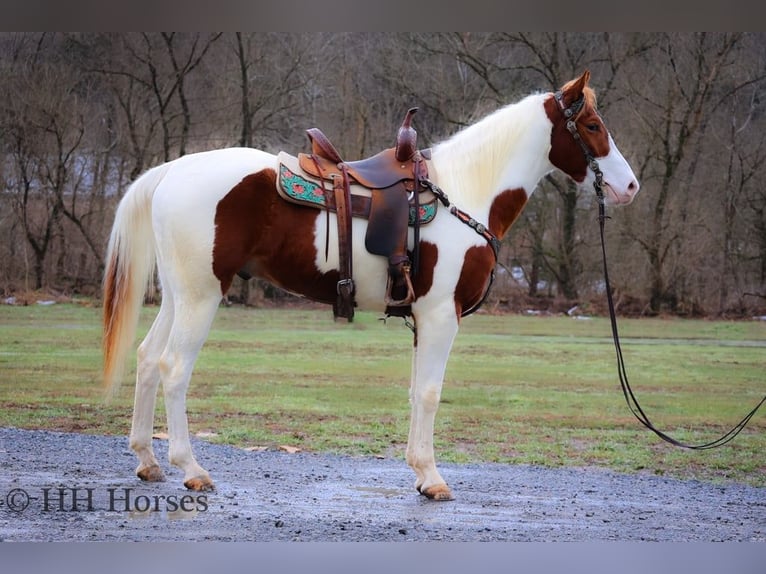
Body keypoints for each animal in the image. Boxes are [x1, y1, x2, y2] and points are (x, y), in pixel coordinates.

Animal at [102, 70, 639, 501]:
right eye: (593, 126)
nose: (630, 186)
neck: (464, 193)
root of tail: (173, 170)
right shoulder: (440, 317)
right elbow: (430, 392)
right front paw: (433, 479)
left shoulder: (424, 319)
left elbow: (417, 390)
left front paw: (420, 473)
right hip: (201, 297)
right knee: (174, 368)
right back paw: (191, 468)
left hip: (179, 297)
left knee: (148, 358)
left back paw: (148, 461)